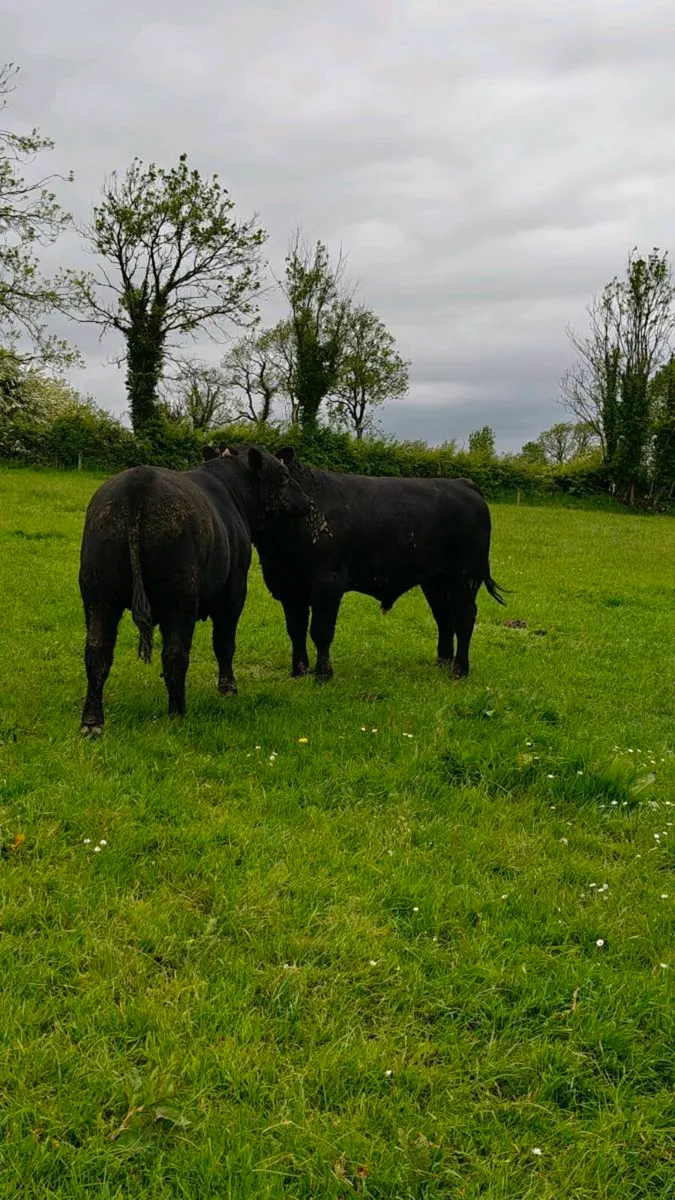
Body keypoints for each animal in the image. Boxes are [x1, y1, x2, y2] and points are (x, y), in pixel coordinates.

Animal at [78, 446, 310, 734]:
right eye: (285, 476)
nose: (308, 501)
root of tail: (138, 482)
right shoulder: (234, 591)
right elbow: (224, 643)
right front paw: (228, 688)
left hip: (99, 592)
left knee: (97, 651)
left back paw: (92, 722)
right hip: (179, 597)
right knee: (175, 652)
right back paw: (178, 714)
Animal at [254, 448, 506, 682]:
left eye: (281, 476)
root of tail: (462, 483)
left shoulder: (327, 583)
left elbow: (321, 631)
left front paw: (323, 674)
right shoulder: (288, 586)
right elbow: (295, 630)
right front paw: (299, 672)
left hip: (465, 577)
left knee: (464, 617)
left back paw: (459, 670)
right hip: (435, 581)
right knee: (444, 618)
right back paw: (442, 663)